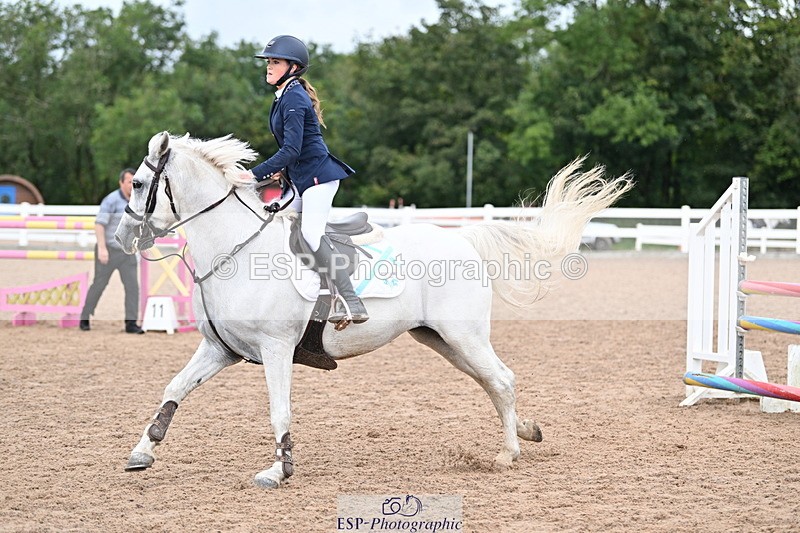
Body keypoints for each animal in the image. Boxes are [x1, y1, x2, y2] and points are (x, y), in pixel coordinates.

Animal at [116, 131, 632, 489]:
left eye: (138, 183)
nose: (121, 237)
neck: (235, 249)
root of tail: (462, 237)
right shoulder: (218, 350)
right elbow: (173, 390)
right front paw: (143, 452)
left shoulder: (276, 350)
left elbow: (280, 411)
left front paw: (278, 472)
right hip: (441, 340)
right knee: (491, 381)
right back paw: (526, 431)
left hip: (463, 335)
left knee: (501, 379)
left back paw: (508, 453)